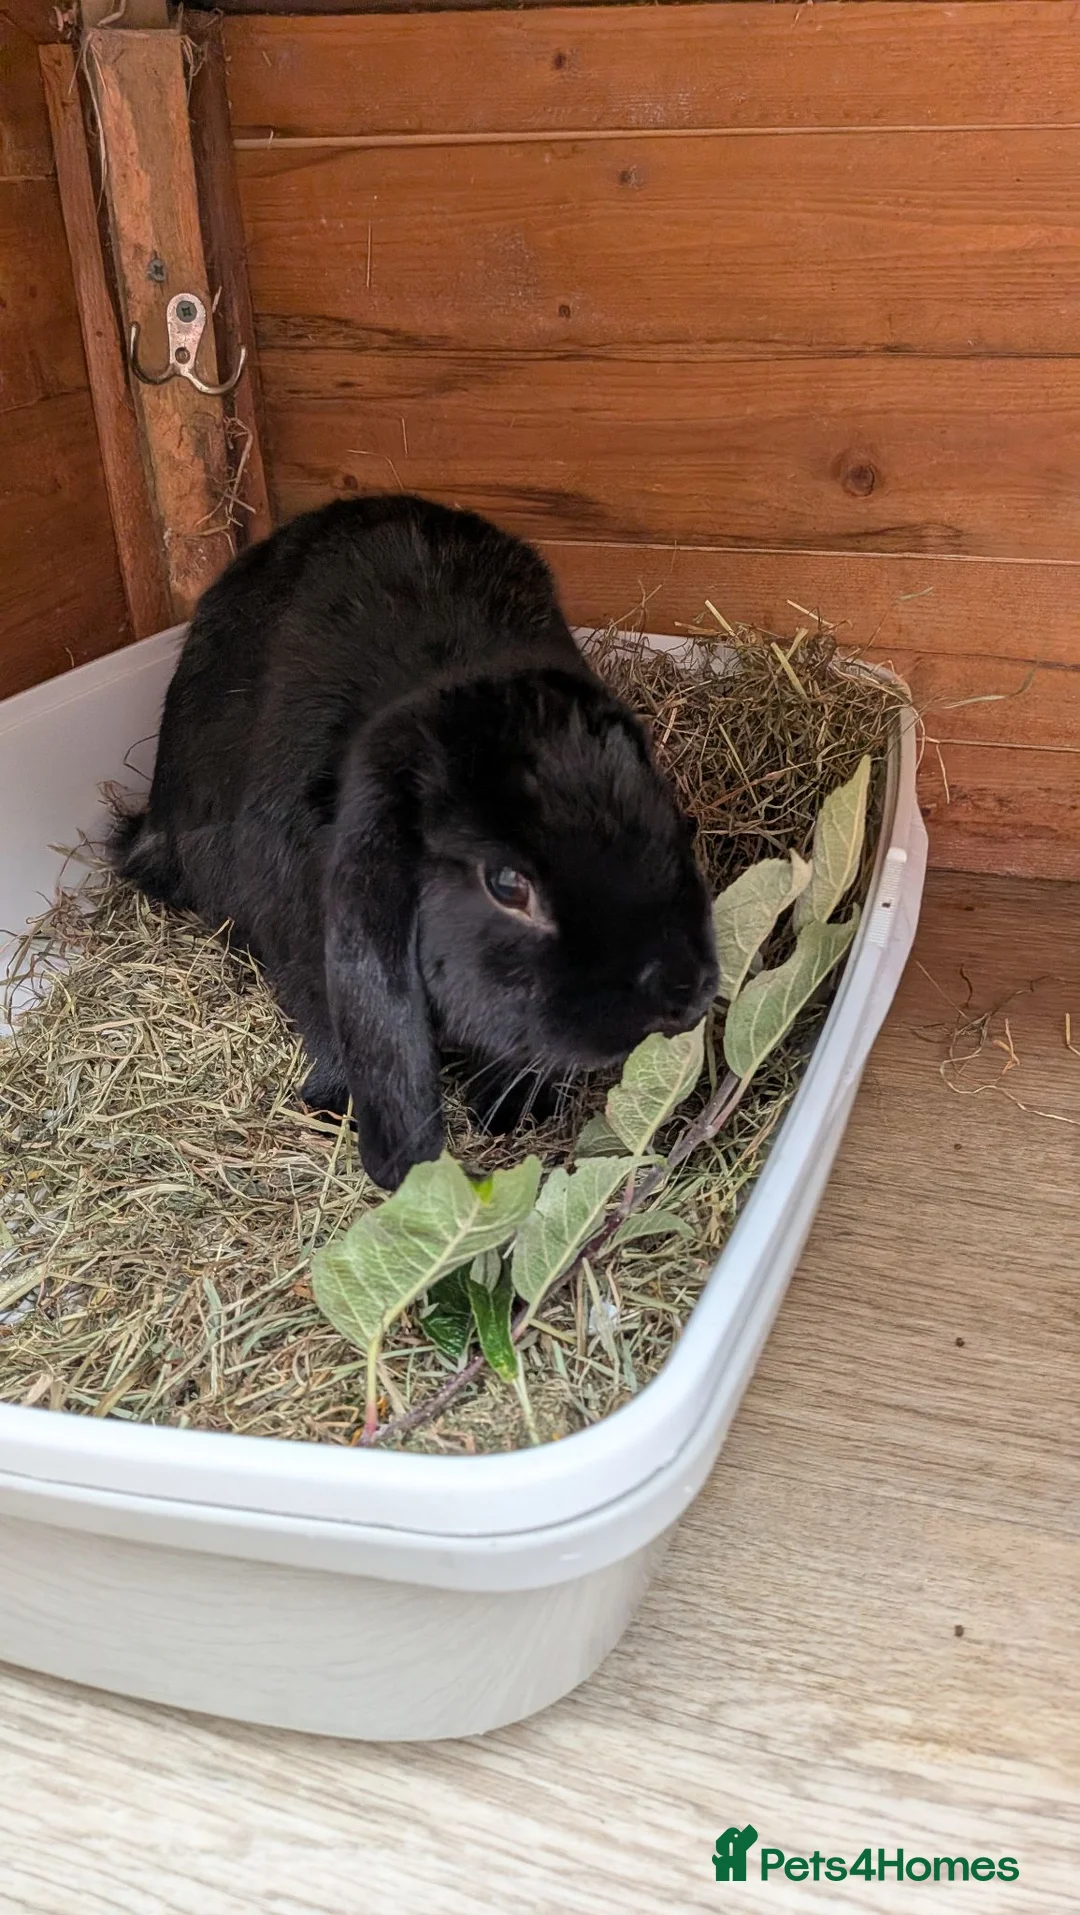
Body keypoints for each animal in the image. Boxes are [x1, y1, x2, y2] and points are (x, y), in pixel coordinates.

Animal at [113, 494, 718, 1189]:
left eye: (667, 816)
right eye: (507, 884)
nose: (684, 991)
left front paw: (514, 1109)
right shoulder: (305, 943)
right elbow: (325, 1020)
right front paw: (338, 1110)